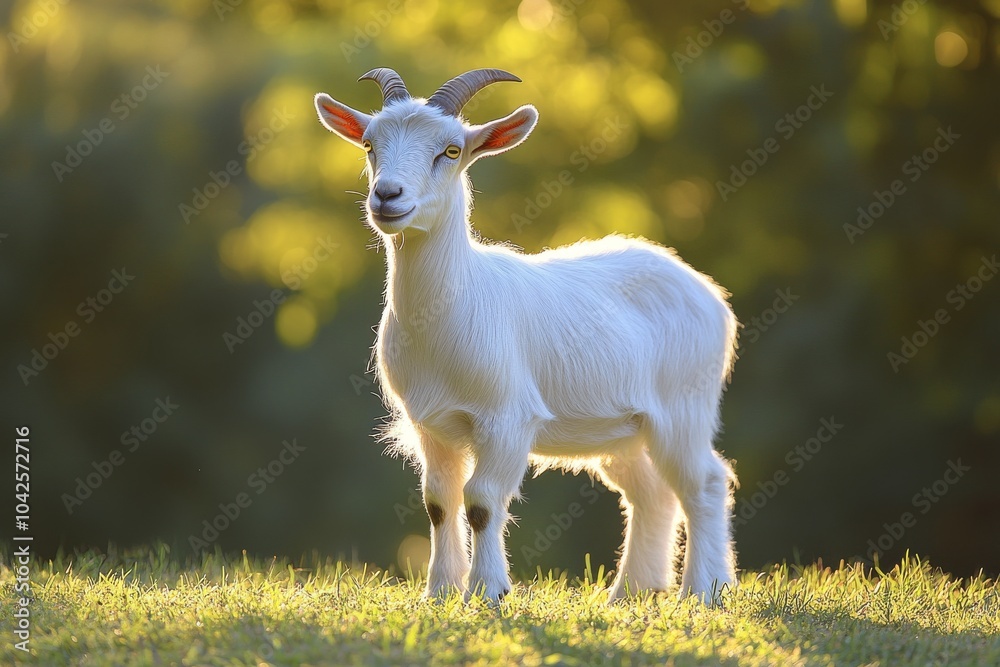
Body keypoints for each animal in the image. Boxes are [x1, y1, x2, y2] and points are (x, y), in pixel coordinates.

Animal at [314, 68, 739, 604]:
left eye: (450, 150)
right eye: (369, 144)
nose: (387, 196)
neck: (454, 308)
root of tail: (710, 294)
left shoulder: (507, 417)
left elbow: (480, 500)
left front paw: (487, 590)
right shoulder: (431, 423)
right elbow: (438, 501)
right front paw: (440, 591)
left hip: (684, 404)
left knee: (705, 481)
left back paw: (704, 590)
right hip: (623, 428)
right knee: (650, 494)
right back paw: (630, 593)